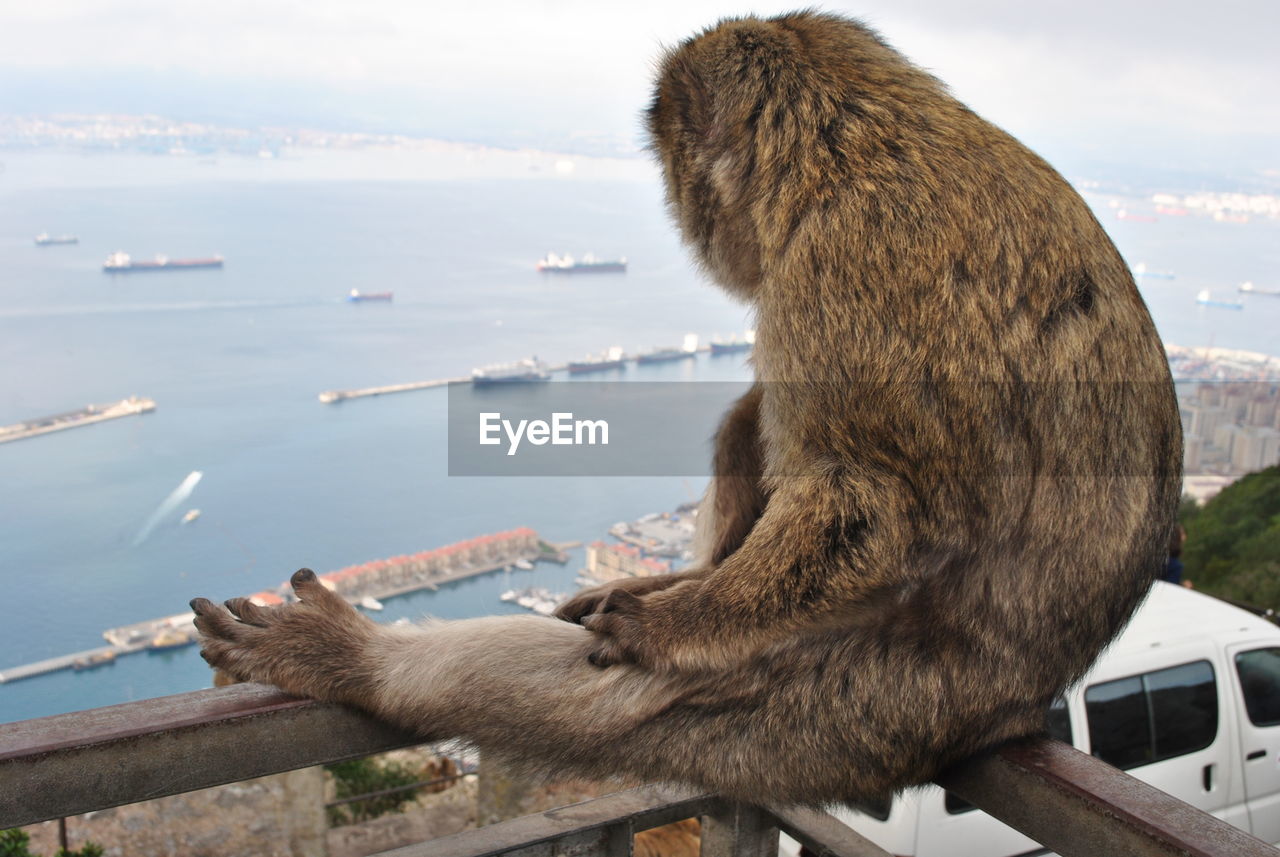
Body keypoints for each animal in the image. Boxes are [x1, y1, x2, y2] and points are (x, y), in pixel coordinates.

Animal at [189, 10, 1177, 808]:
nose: (680, 204)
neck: (858, 149)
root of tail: (1017, 709)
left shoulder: (838, 275)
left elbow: (869, 501)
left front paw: (672, 622)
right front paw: (673, 588)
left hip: (861, 704)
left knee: (601, 694)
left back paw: (358, 659)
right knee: (753, 413)